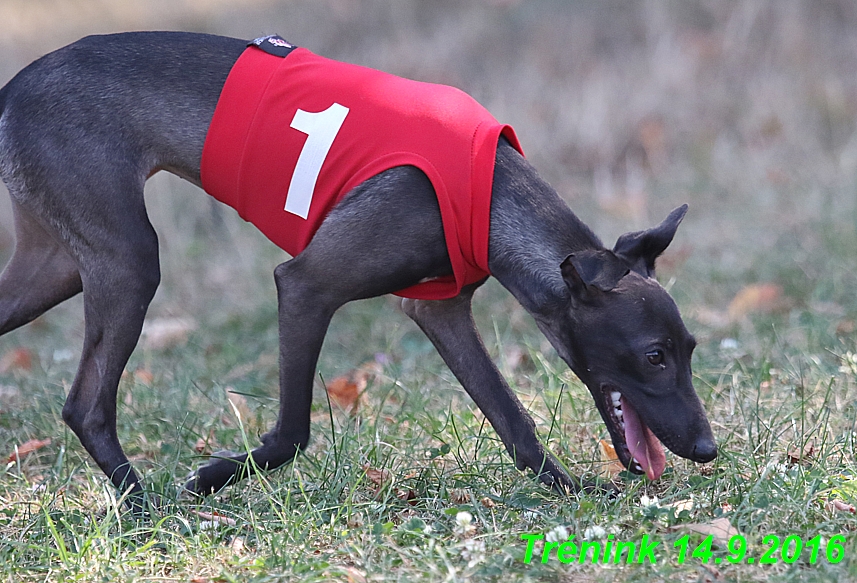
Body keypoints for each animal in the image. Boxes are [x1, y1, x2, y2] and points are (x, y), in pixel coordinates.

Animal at [0, 32, 712, 508]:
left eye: (690, 349)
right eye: (654, 356)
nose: (708, 449)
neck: (492, 196)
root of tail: (12, 89)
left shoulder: (439, 310)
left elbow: (515, 421)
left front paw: (570, 491)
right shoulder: (306, 286)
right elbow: (293, 431)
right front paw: (213, 476)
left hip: (58, 266)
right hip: (128, 263)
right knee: (87, 404)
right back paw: (148, 506)